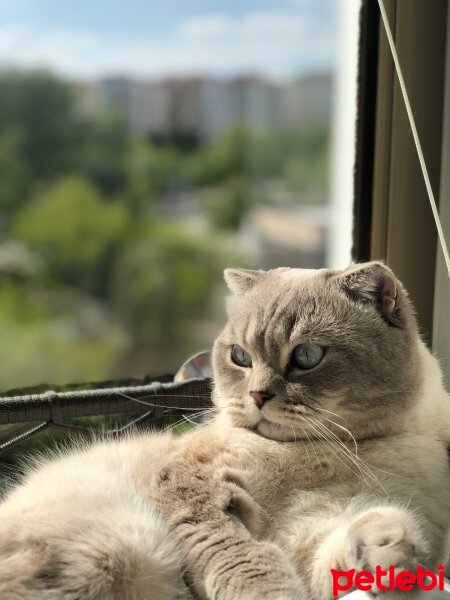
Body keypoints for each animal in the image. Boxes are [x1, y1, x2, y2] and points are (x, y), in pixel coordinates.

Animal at [0, 262, 450, 600]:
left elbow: (354, 539)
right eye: (240, 357)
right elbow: (249, 566)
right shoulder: (195, 489)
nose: (257, 396)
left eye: (306, 356)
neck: (338, 451)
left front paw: (393, 554)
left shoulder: (309, 533)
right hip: (119, 546)